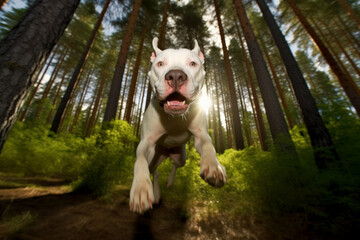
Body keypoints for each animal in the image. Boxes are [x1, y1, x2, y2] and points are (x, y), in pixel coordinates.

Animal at [129, 38, 225, 214]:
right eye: (160, 63)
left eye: (193, 63)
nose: (175, 75)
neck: (174, 117)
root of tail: (166, 153)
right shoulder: (146, 142)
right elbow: (140, 159)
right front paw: (140, 188)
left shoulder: (200, 134)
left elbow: (208, 144)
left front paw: (214, 167)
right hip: (154, 158)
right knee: (155, 172)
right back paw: (156, 192)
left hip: (181, 157)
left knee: (175, 165)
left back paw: (170, 181)